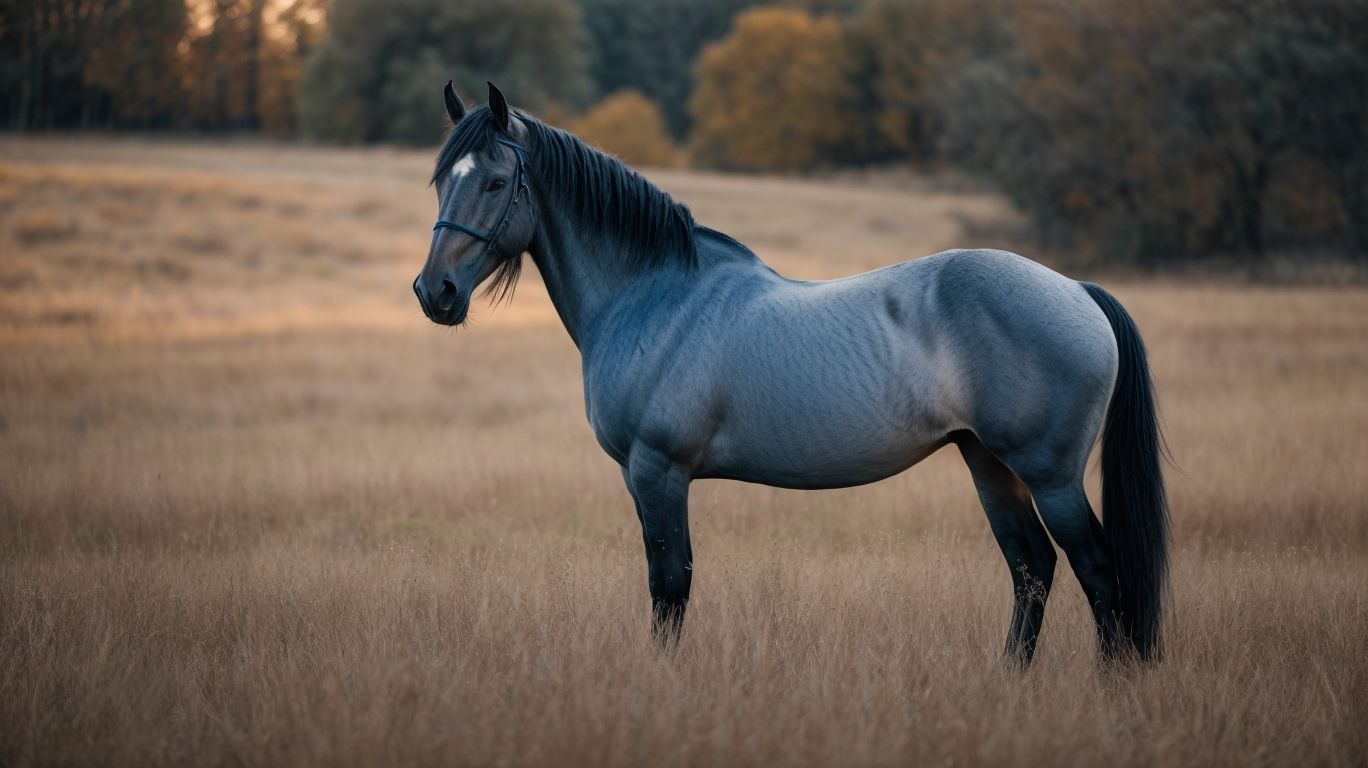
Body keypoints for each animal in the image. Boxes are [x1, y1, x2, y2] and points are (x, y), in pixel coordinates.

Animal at [413, 82, 1170, 666]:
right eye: (442, 179)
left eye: (497, 182)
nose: (434, 293)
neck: (654, 295)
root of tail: (1076, 290)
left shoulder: (657, 472)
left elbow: (669, 585)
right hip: (988, 463)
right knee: (1031, 570)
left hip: (1051, 476)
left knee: (1097, 572)